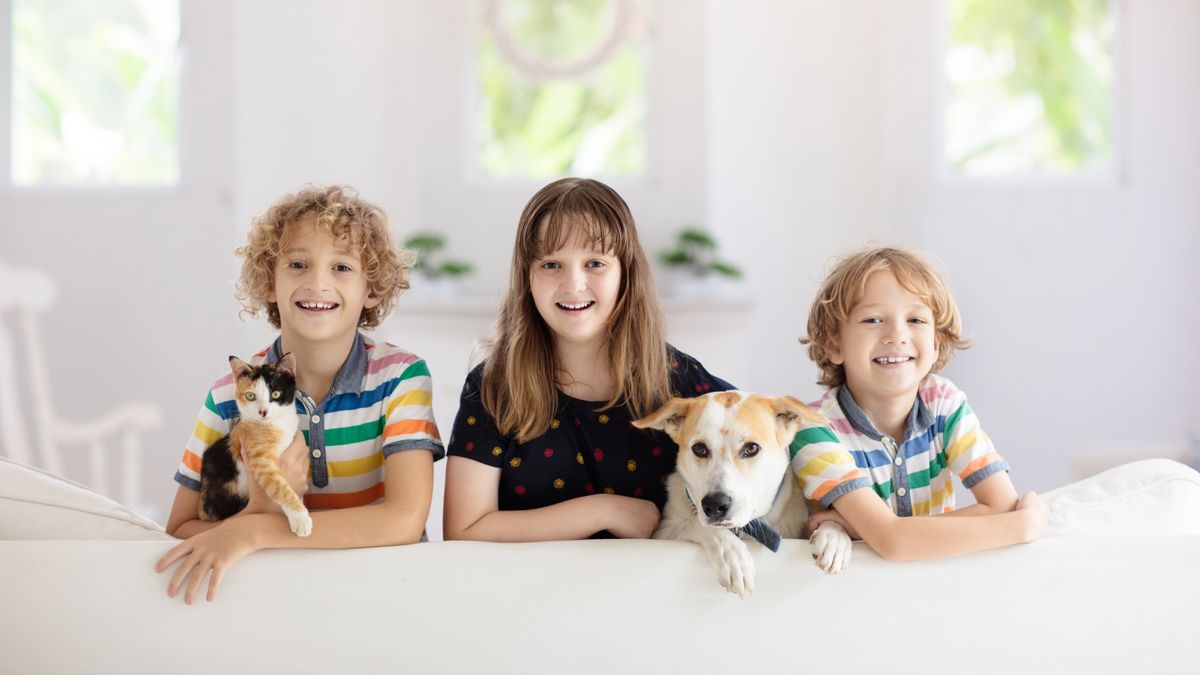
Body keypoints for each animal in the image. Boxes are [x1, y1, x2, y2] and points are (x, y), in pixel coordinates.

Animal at [196, 353, 312, 535]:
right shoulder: (260, 460)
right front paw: (300, 518)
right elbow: (279, 487)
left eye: (276, 393)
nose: (263, 411)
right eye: (250, 396)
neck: (275, 425)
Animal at [638, 389, 854, 593]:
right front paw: (732, 555)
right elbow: (698, 525)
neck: (742, 529)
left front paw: (834, 537)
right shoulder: (662, 532)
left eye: (751, 448)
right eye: (699, 449)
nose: (714, 505)